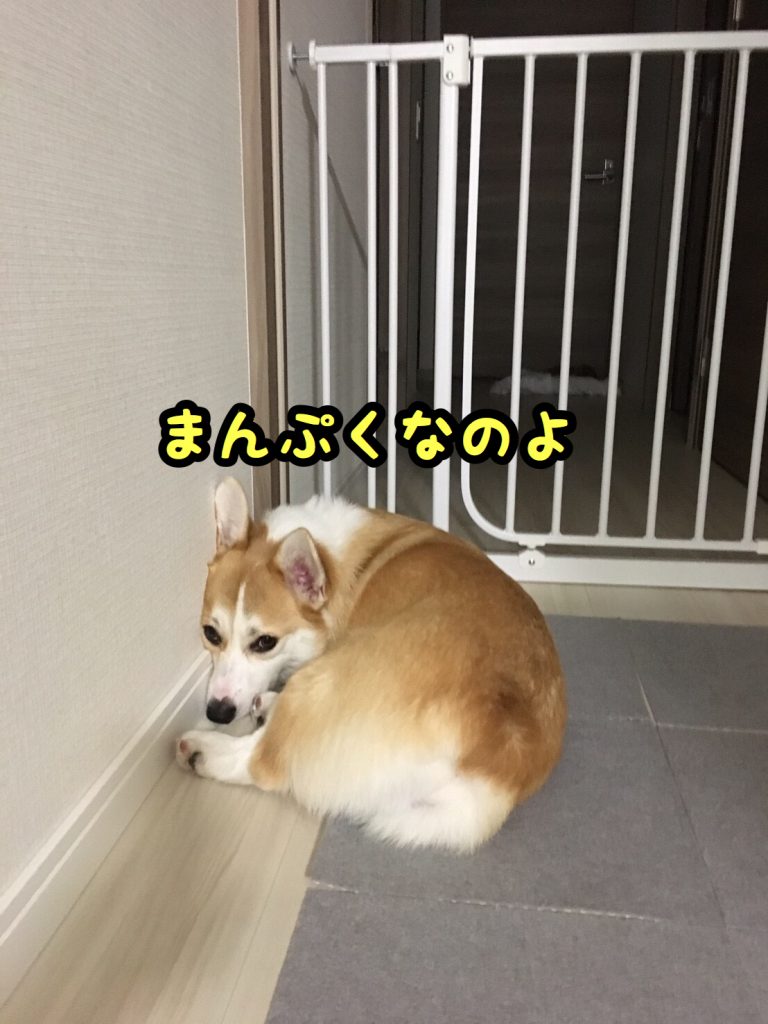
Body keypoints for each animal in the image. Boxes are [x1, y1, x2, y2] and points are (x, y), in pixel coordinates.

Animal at [176, 478, 566, 851]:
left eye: (264, 643)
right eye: (211, 634)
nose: (217, 712)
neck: (333, 564)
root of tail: (496, 765)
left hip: (317, 680)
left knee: (262, 760)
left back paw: (202, 750)